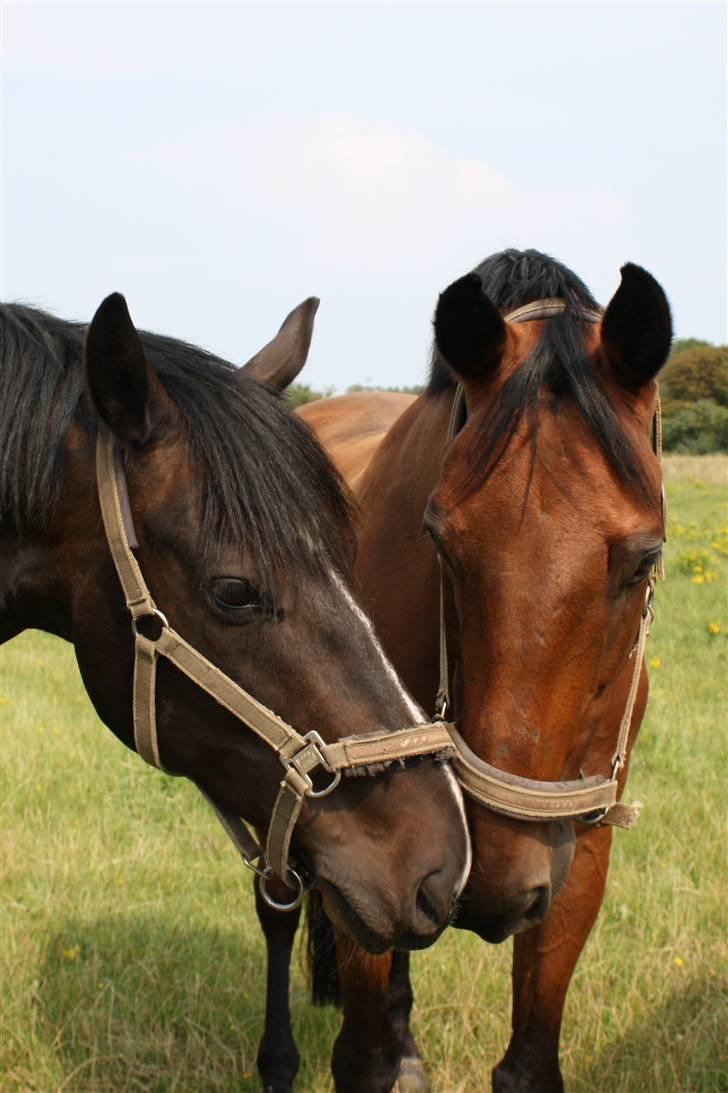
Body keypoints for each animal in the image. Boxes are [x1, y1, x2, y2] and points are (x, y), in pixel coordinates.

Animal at [297, 250, 668, 1093]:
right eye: (440, 538)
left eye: (645, 558)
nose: (497, 878)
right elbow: (364, 1058)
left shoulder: (581, 836)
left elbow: (529, 1059)